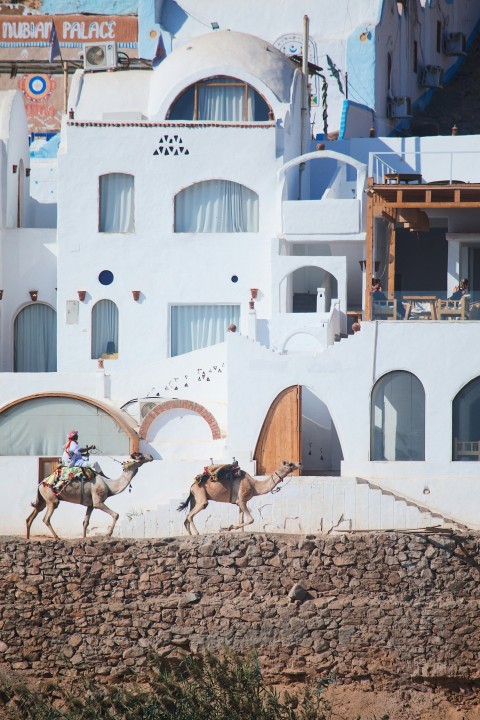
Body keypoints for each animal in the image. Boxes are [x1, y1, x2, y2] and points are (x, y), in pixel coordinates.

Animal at [26, 452, 154, 536]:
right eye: (139, 455)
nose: (151, 456)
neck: (109, 486)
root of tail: (41, 484)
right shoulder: (97, 502)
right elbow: (116, 515)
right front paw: (108, 534)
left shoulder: (90, 505)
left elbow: (85, 523)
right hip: (52, 500)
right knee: (46, 519)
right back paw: (57, 538)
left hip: (43, 500)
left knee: (31, 516)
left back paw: (28, 538)